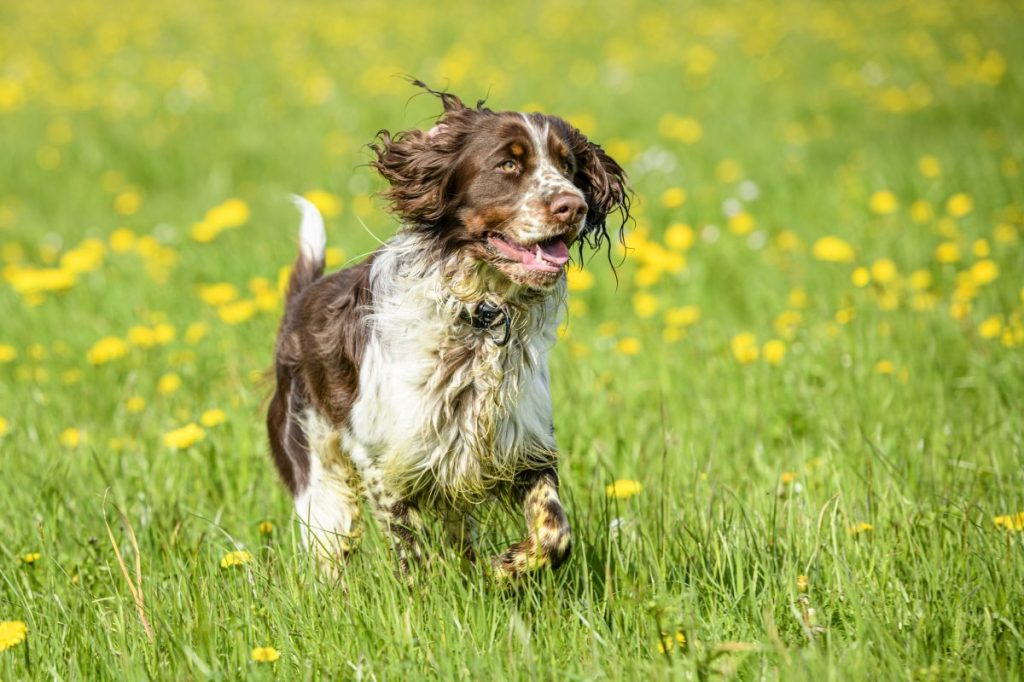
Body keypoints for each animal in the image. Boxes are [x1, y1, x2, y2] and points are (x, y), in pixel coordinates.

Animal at [268, 82, 626, 577]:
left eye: (568, 166)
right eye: (508, 164)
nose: (574, 205)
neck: (479, 316)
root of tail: (299, 305)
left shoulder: (523, 444)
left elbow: (554, 532)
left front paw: (504, 569)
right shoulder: (383, 461)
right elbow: (411, 554)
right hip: (321, 486)